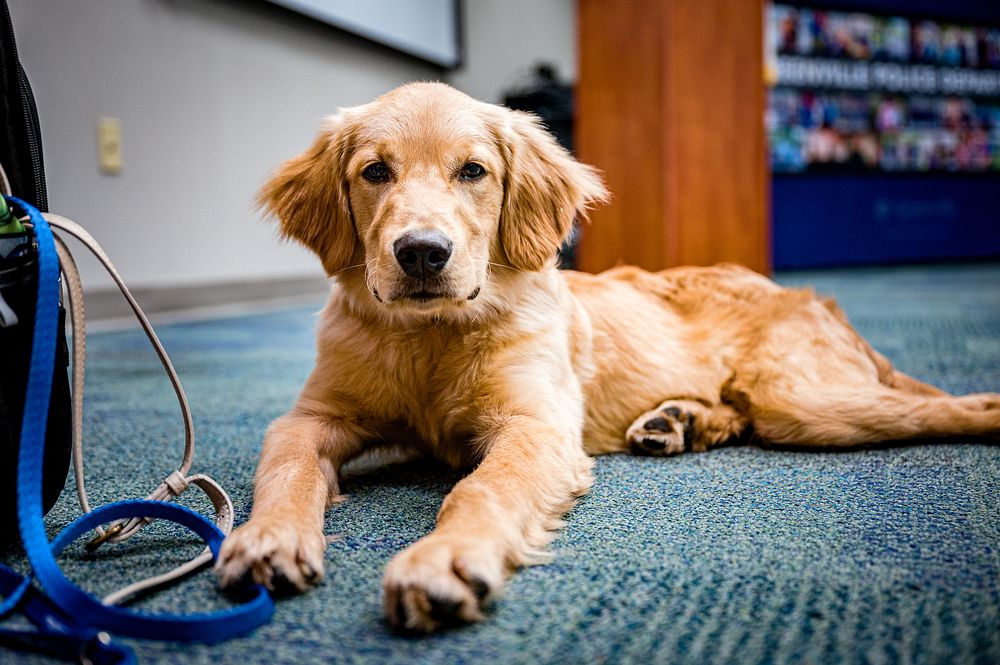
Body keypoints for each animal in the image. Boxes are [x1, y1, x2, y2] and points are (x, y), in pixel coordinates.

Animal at [217, 80, 1000, 632]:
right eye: (375, 172)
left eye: (473, 171)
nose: (421, 253)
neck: (432, 335)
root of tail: (810, 296)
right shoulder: (312, 416)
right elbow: (286, 466)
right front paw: (266, 538)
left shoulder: (535, 426)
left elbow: (480, 488)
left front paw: (444, 561)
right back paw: (679, 421)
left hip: (805, 399)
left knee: (948, 407)